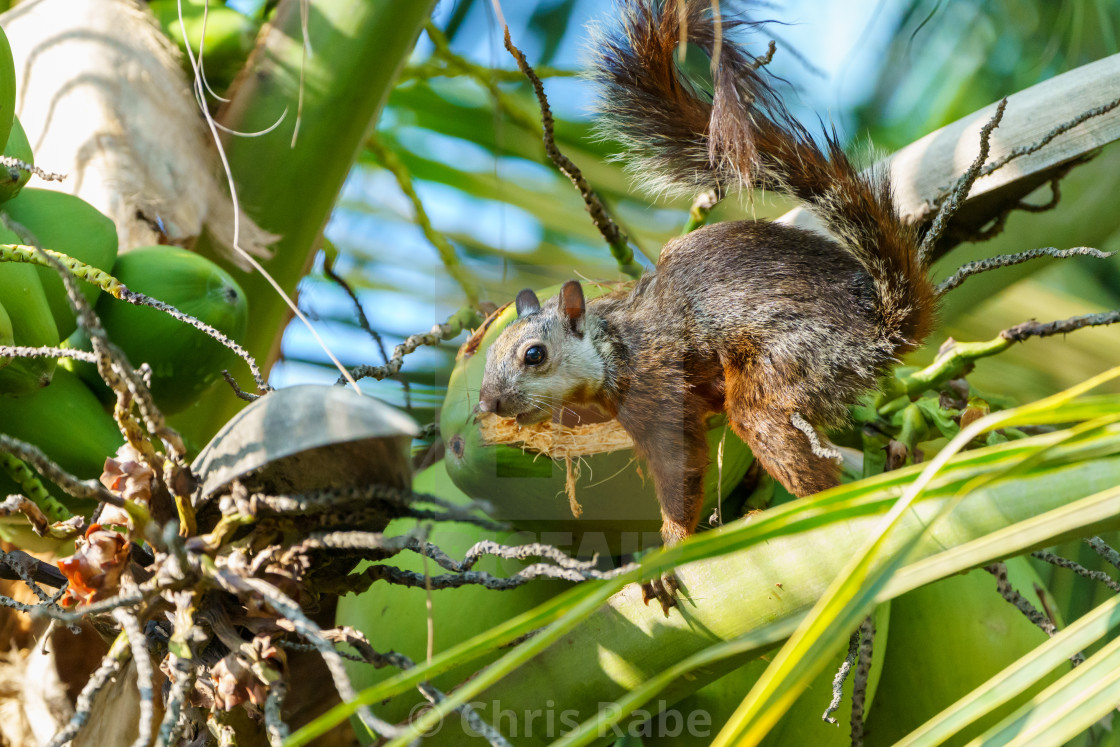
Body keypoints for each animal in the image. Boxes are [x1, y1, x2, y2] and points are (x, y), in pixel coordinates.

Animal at [472, 0, 936, 613]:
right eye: (486, 356)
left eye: (534, 355)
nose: (489, 404)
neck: (613, 347)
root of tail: (879, 331)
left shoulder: (659, 391)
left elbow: (681, 468)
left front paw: (668, 549)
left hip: (789, 364)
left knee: (785, 442)